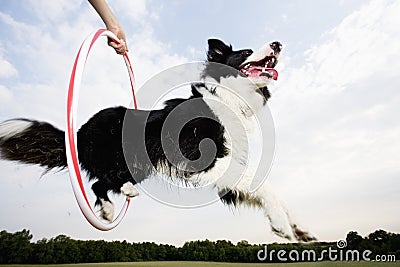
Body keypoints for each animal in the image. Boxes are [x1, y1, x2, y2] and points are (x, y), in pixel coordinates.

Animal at [0, 39, 314, 243]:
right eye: (247, 52)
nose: (278, 43)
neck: (227, 97)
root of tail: (79, 131)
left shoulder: (228, 169)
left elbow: (262, 189)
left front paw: (297, 227)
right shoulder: (205, 160)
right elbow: (263, 187)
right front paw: (281, 223)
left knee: (100, 183)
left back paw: (111, 206)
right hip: (128, 161)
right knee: (101, 181)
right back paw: (118, 198)